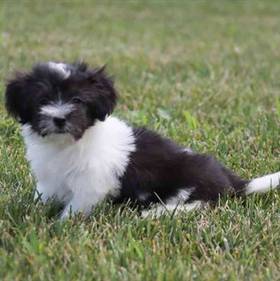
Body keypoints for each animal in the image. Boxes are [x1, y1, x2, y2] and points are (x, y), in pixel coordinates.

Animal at [4, 62, 280, 218]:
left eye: (77, 100)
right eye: (42, 100)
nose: (59, 119)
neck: (66, 144)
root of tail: (231, 182)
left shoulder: (92, 183)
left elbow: (76, 208)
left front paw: (61, 225)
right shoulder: (50, 179)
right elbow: (44, 195)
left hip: (187, 189)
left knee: (198, 204)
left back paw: (155, 213)